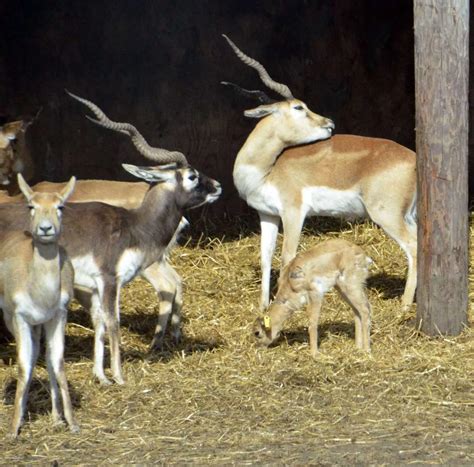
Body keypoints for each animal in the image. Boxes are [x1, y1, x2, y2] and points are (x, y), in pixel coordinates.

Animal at [0, 112, 220, 384]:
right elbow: (113, 322)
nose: (218, 186)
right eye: (192, 176)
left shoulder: (96, 286)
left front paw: (102, 376)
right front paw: (119, 375)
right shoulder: (109, 279)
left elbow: (102, 323)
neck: (135, 225)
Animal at [0, 173, 78, 438]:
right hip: (15, 321)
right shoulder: (20, 318)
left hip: (40, 324)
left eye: (60, 206)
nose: (45, 228)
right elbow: (24, 366)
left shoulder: (58, 316)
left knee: (43, 356)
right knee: (32, 357)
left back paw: (55, 418)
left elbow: (57, 362)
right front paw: (14, 429)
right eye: (31, 205)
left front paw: (71, 422)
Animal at [222, 35, 414, 310]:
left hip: (386, 215)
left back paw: (405, 305)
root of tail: (414, 158)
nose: (329, 123)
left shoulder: (294, 212)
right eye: (299, 108)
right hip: (408, 215)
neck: (267, 169)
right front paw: (262, 306)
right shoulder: (267, 214)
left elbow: (288, 256)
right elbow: (266, 257)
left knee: (413, 246)